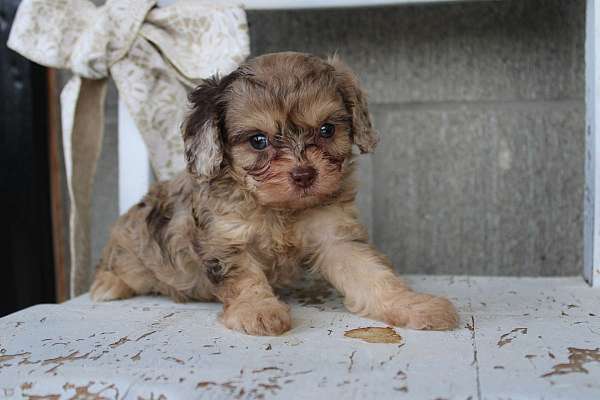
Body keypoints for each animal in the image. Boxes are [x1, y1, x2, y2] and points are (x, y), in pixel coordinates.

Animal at [90, 51, 460, 336]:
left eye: (327, 130)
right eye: (258, 140)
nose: (305, 174)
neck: (278, 208)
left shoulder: (336, 236)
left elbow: (372, 274)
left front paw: (412, 304)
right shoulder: (226, 241)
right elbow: (244, 278)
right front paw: (258, 310)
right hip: (132, 249)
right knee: (117, 264)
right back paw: (107, 285)